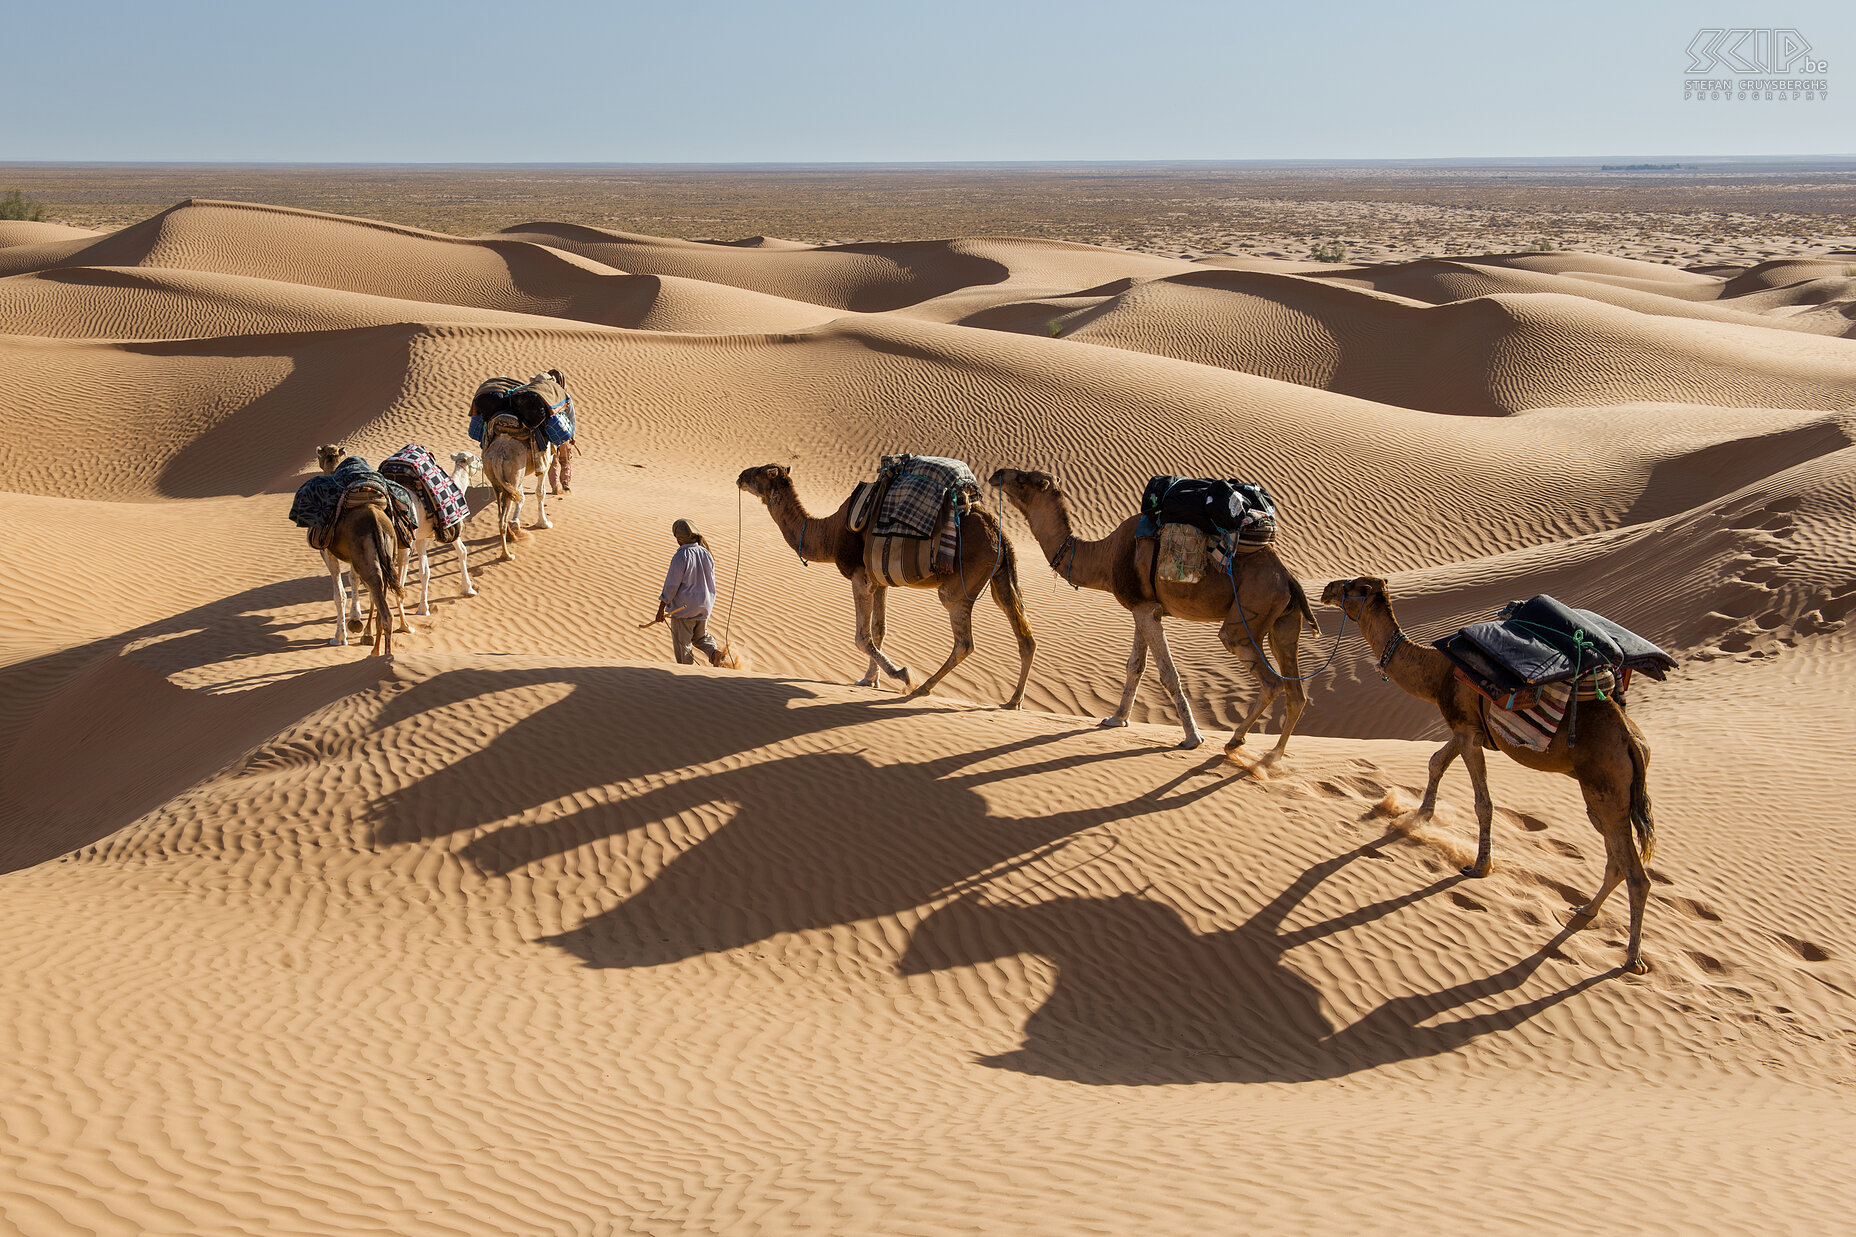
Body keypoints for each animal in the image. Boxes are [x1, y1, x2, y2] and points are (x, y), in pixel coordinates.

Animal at [734, 462, 1031, 709]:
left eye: (760, 472)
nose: (740, 475)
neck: (829, 533)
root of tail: (1001, 535)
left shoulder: (860, 577)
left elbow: (861, 637)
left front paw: (901, 674)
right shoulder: (880, 581)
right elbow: (878, 631)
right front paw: (869, 680)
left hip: (959, 585)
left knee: (964, 642)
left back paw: (920, 688)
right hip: (1000, 577)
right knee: (1024, 636)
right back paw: (1013, 702)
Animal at [994, 464, 1314, 761]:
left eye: (1026, 479)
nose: (998, 474)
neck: (1105, 556)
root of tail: (1287, 578)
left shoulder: (1146, 610)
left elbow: (1168, 674)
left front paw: (1192, 738)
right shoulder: (1142, 607)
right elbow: (1135, 666)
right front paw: (1116, 719)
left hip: (1247, 616)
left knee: (1271, 681)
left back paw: (1235, 741)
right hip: (1284, 621)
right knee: (1296, 692)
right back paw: (1272, 757)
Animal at [1328, 572, 1662, 965]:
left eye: (1355, 588)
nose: (1328, 589)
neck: (1435, 671)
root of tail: (1632, 742)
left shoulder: (1467, 731)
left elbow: (1483, 802)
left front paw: (1479, 866)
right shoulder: (1465, 728)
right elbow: (1435, 761)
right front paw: (1418, 818)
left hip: (1606, 785)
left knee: (1635, 872)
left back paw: (1632, 957)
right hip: (1608, 794)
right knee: (1615, 858)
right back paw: (1585, 911)